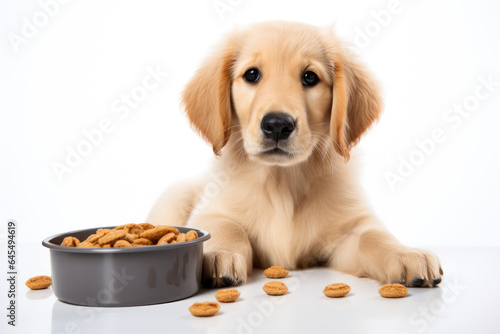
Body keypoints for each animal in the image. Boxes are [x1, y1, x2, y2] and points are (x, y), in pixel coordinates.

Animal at [147, 20, 442, 288]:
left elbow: (372, 235)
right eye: (251, 75)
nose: (277, 124)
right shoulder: (210, 211)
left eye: (310, 77)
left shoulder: (350, 227)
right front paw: (220, 253)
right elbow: (228, 226)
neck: (282, 180)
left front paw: (405, 253)